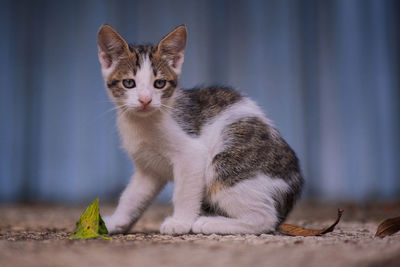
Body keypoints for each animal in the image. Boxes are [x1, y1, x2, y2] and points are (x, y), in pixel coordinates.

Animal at [97, 24, 304, 236]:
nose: (145, 100)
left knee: (264, 218)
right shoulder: (149, 170)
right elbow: (132, 196)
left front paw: (180, 222)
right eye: (129, 83)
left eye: (159, 83)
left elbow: (184, 192)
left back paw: (208, 223)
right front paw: (115, 222)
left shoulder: (191, 155)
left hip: (226, 165)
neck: (143, 122)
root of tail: (293, 185)